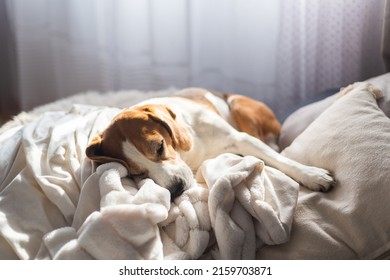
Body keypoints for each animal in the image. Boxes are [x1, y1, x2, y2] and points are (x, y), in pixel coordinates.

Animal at [86, 87, 336, 199]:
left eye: (159, 146)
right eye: (136, 174)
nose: (175, 189)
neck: (189, 154)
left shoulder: (242, 139)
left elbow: (283, 161)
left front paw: (313, 175)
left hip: (238, 105)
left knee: (273, 146)